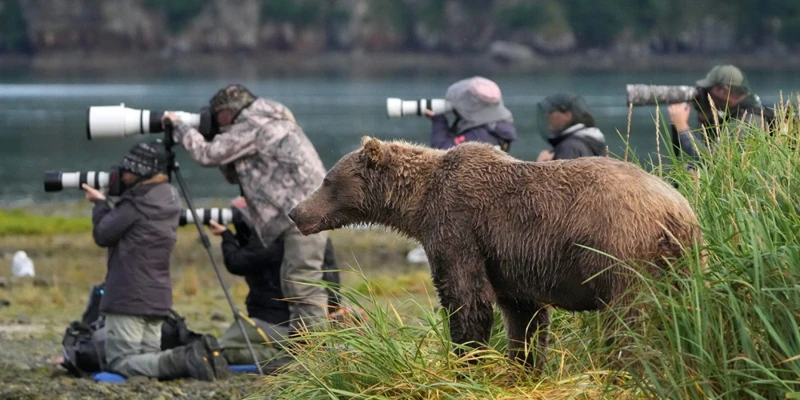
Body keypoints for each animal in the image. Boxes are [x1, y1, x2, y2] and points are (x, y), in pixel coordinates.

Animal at [286, 135, 700, 372]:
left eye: (325, 179)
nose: (295, 211)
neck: (418, 205)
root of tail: (677, 210)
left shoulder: (457, 227)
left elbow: (467, 299)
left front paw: (465, 364)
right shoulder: (511, 260)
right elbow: (523, 316)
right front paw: (523, 366)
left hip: (622, 251)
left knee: (633, 318)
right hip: (684, 261)